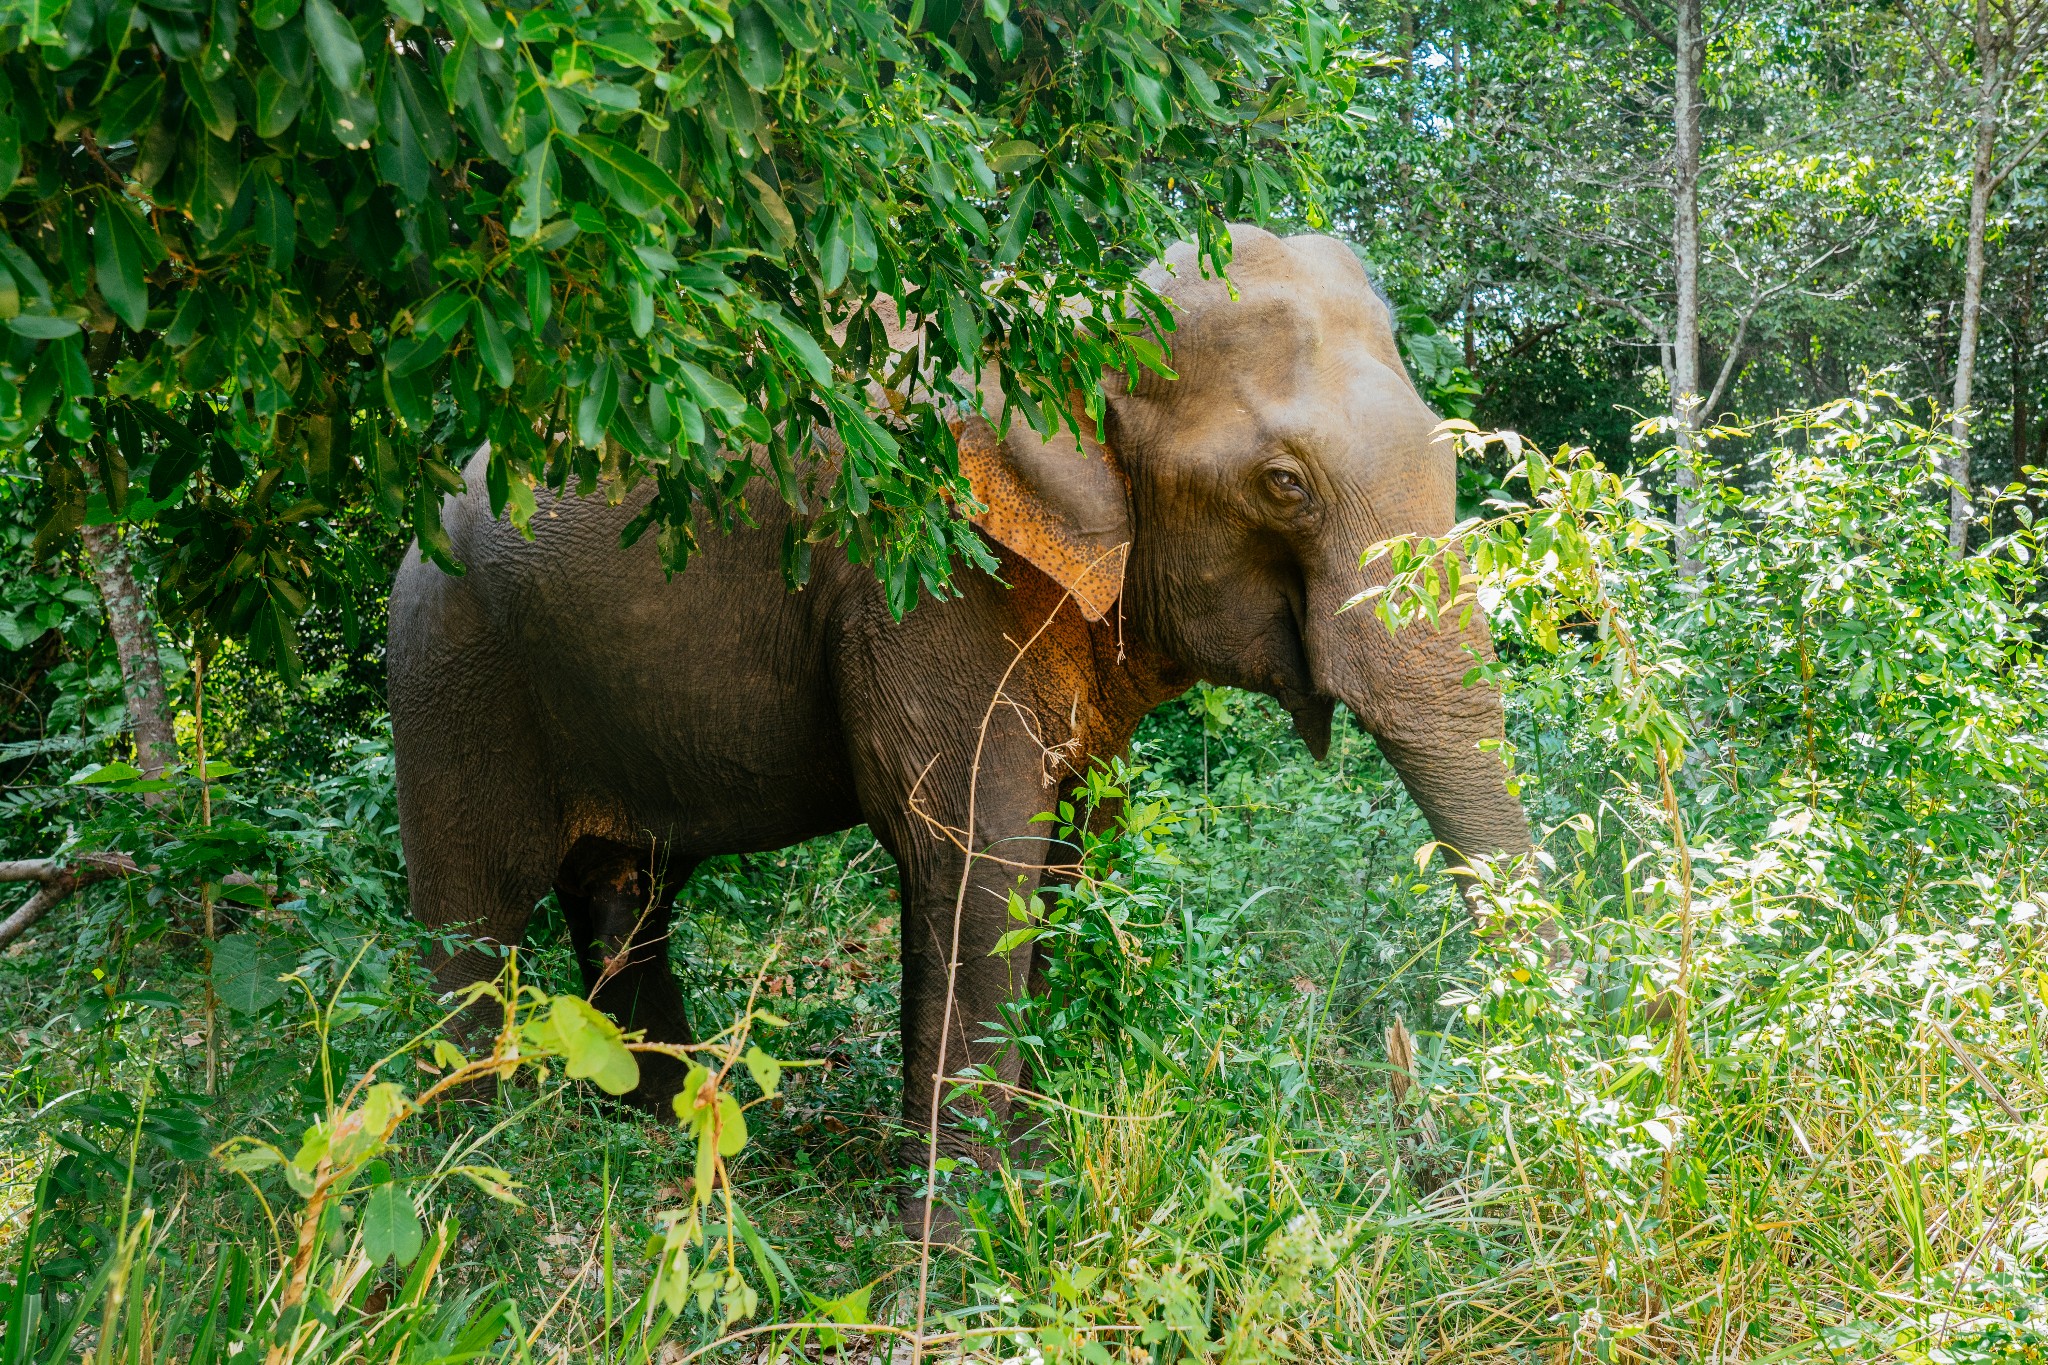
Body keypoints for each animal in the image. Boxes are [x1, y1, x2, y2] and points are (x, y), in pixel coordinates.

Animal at [387, 222, 1540, 1203]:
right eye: (1282, 485)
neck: (1074, 312)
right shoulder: (918, 570)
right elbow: (979, 854)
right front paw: (955, 1250)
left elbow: (1065, 858)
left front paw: (1029, 1195)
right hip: (450, 662)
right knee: (471, 915)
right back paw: (462, 1188)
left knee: (629, 900)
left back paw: (659, 1144)